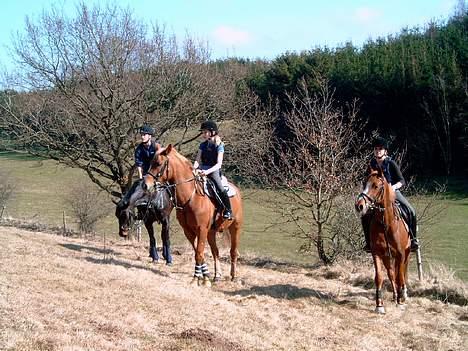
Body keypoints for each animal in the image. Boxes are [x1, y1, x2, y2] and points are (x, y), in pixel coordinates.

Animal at [143, 144, 245, 288]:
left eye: (158, 163)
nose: (145, 185)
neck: (191, 197)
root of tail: (235, 189)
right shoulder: (189, 231)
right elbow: (198, 252)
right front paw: (204, 277)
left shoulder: (201, 229)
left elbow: (199, 254)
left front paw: (198, 278)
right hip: (211, 233)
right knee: (215, 252)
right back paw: (217, 276)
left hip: (235, 228)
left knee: (233, 252)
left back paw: (234, 277)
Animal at [356, 167, 412, 314]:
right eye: (364, 184)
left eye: (376, 186)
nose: (359, 205)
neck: (386, 223)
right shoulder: (377, 253)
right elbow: (379, 277)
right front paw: (379, 305)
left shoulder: (400, 254)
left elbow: (400, 276)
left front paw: (400, 302)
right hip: (387, 256)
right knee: (391, 274)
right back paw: (395, 295)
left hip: (407, 253)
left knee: (403, 273)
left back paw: (402, 295)